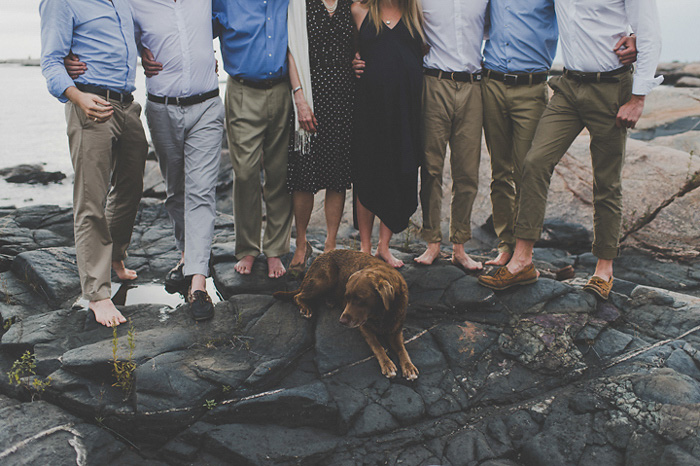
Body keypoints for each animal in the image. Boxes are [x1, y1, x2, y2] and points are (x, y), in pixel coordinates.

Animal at [274, 251, 418, 378]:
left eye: (360, 300)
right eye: (347, 298)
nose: (341, 321)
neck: (381, 314)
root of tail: (320, 256)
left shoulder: (396, 331)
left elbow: (402, 349)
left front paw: (409, 367)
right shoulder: (364, 327)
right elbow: (378, 346)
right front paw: (387, 364)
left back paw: (330, 300)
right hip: (325, 279)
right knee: (298, 296)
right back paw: (306, 308)